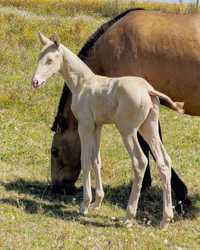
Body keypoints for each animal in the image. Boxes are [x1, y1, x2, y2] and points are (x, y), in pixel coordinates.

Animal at [32, 32, 184, 229]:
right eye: (39, 57)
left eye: (50, 60)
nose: (35, 82)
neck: (83, 83)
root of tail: (149, 90)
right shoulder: (98, 126)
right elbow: (96, 160)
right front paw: (97, 202)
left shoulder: (85, 125)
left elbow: (85, 161)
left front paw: (85, 205)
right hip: (148, 128)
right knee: (164, 162)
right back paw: (165, 220)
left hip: (128, 131)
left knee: (140, 161)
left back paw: (128, 216)